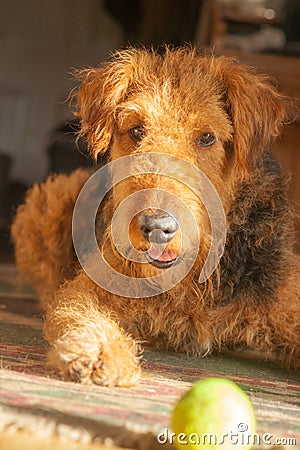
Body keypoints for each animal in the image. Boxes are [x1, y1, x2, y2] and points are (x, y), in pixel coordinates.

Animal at [11, 46, 300, 386]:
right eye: (137, 130)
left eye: (207, 137)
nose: (156, 227)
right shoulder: (91, 289)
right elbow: (76, 310)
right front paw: (97, 353)